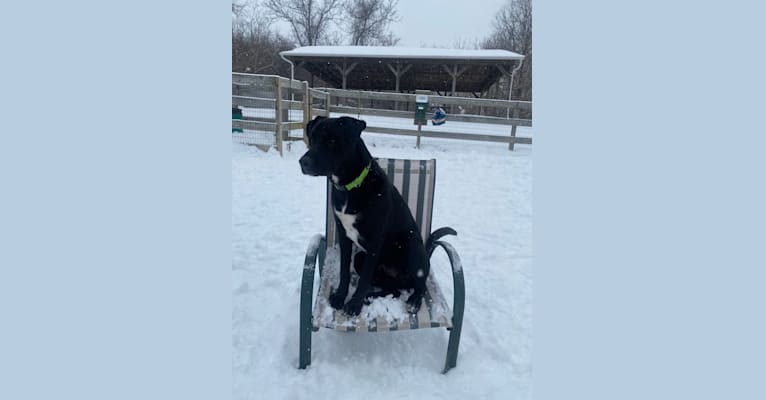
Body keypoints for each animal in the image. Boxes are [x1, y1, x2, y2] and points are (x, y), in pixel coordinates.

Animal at [300, 115, 456, 316]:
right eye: (312, 138)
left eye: (332, 140)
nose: (303, 162)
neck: (351, 187)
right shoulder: (344, 235)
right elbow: (344, 270)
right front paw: (341, 296)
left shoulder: (375, 241)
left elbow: (364, 279)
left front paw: (354, 304)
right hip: (361, 259)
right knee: (394, 290)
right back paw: (371, 296)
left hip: (412, 246)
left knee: (420, 281)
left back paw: (413, 300)